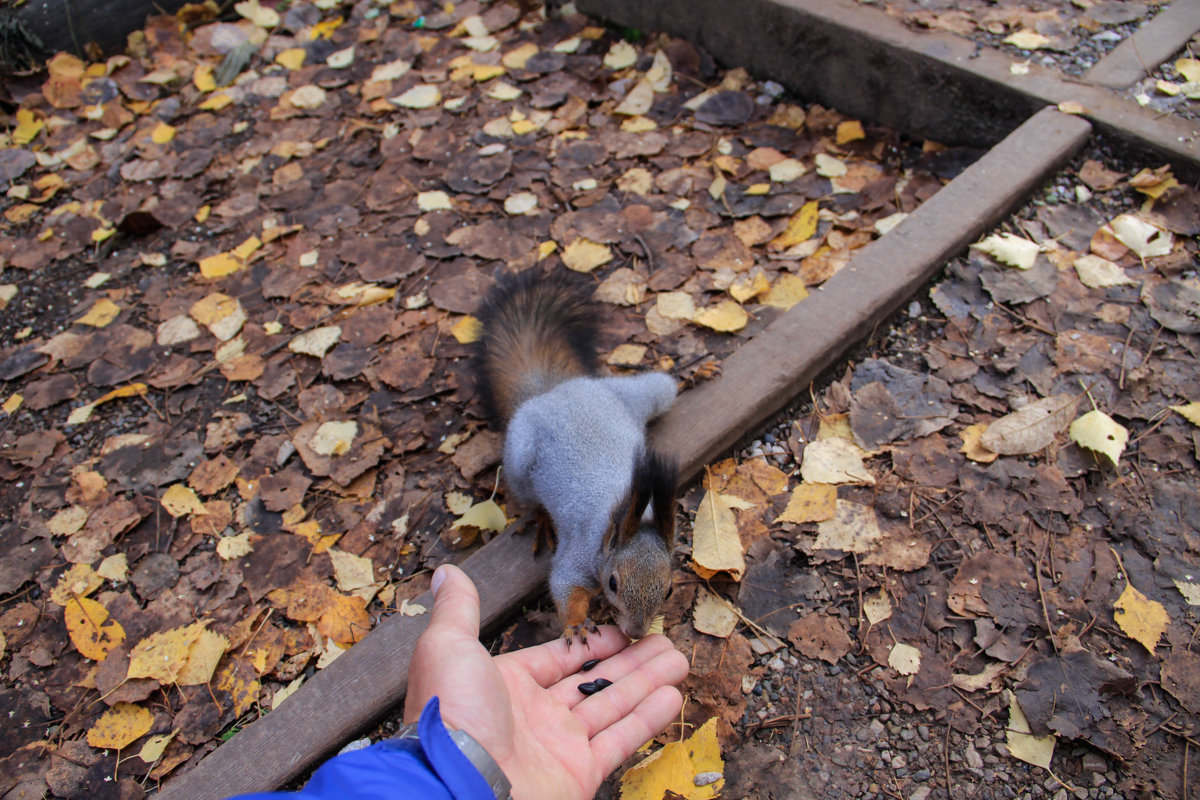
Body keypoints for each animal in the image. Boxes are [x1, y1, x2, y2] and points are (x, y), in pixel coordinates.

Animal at [475, 272, 681, 647]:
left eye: (669, 590)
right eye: (613, 583)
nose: (635, 633)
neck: (624, 516)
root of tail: (558, 390)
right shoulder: (580, 555)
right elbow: (565, 587)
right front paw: (576, 625)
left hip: (640, 394)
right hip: (519, 456)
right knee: (526, 493)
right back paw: (541, 519)